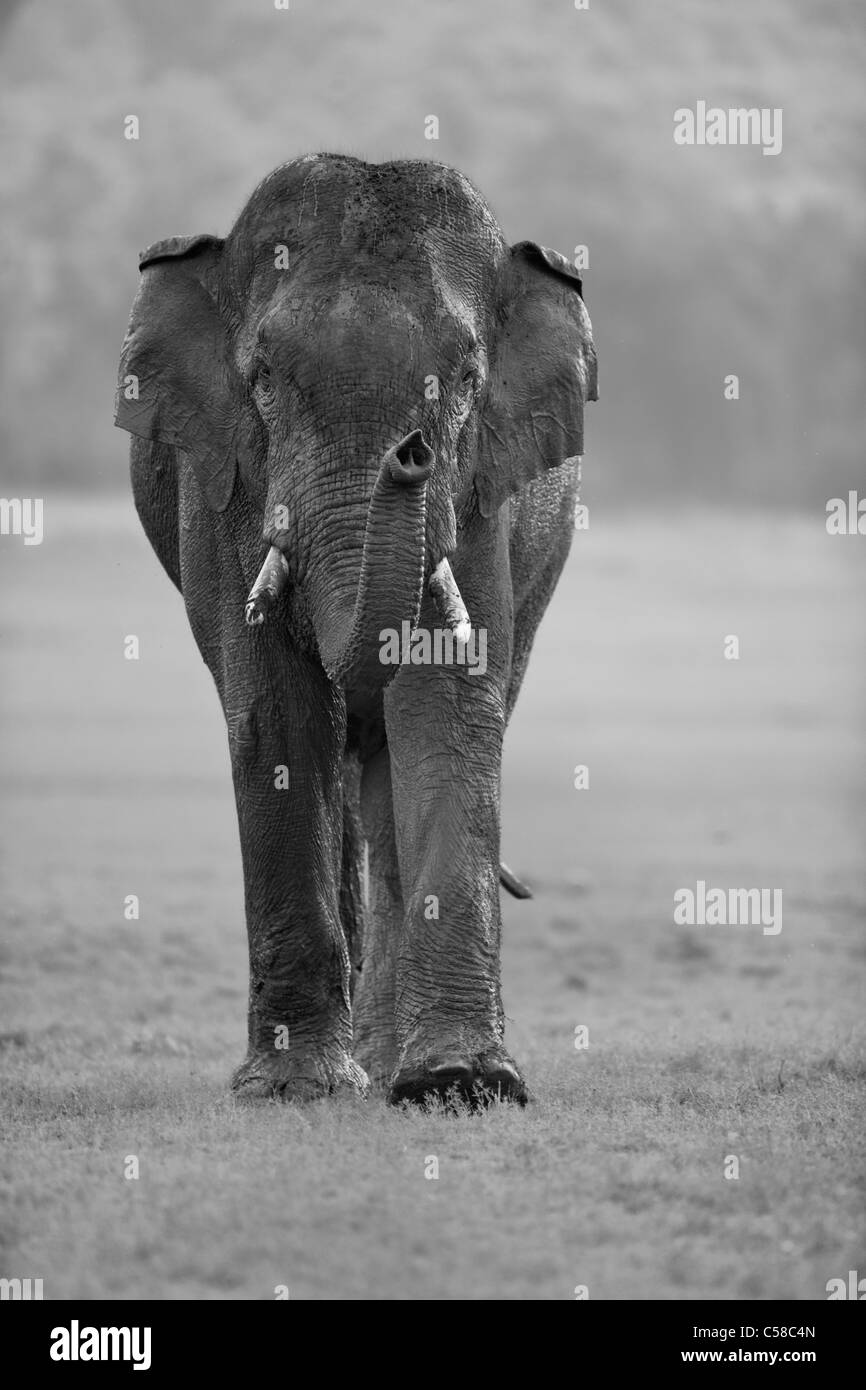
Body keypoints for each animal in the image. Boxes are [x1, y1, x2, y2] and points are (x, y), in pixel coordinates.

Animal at [115, 154, 594, 1106]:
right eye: (264, 378)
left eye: (468, 380)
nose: (410, 452)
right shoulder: (223, 483)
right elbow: (275, 714)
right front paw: (290, 1089)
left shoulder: (482, 492)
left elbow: (448, 707)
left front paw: (465, 1085)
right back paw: (357, 1068)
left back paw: (386, 1063)